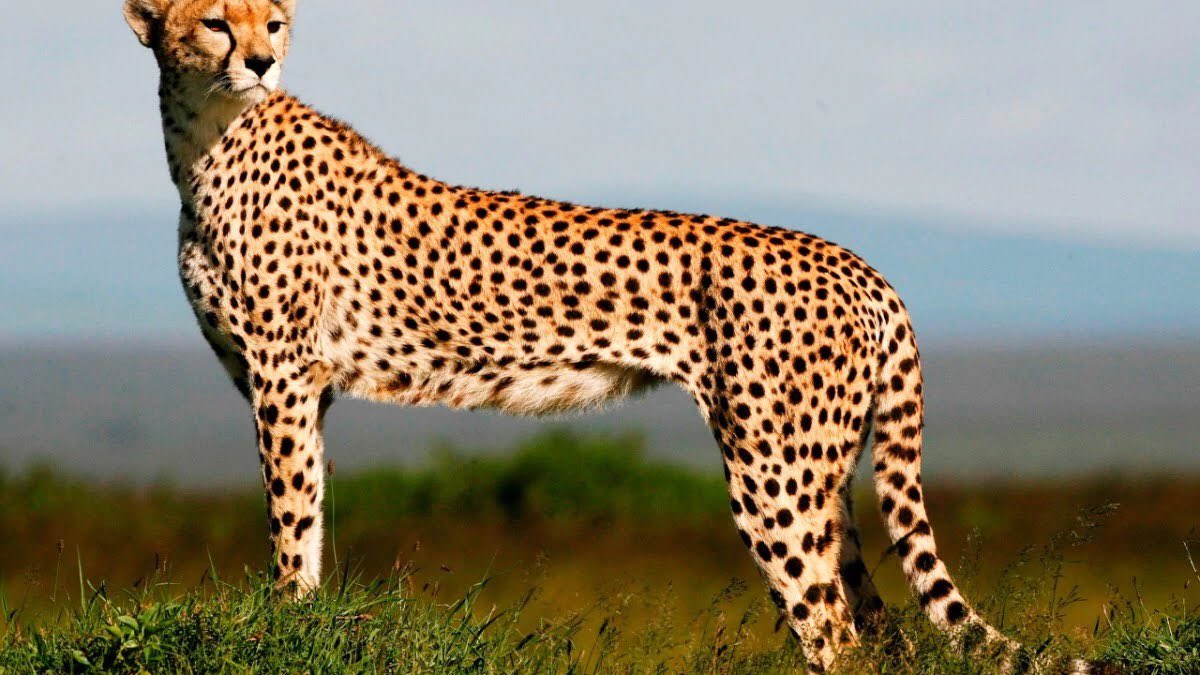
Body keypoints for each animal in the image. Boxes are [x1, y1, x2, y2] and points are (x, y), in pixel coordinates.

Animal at [123, 1, 1095, 671]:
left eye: (274, 19)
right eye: (216, 20)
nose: (261, 58)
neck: (204, 136)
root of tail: (859, 264)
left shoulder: (283, 379)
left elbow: (289, 518)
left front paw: (284, 621)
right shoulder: (301, 387)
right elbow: (312, 511)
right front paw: (302, 616)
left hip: (775, 477)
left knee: (835, 634)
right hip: (827, 479)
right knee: (877, 629)